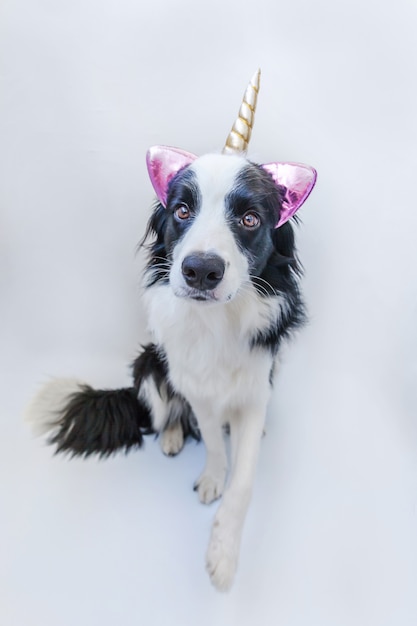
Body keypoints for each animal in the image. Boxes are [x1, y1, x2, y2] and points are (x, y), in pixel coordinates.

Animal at [26, 72, 316, 588]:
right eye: (182, 211)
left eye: (249, 219)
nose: (200, 270)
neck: (217, 324)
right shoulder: (193, 384)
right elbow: (213, 441)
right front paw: (212, 477)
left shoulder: (257, 386)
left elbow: (244, 478)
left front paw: (222, 555)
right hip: (148, 366)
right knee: (165, 413)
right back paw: (172, 437)